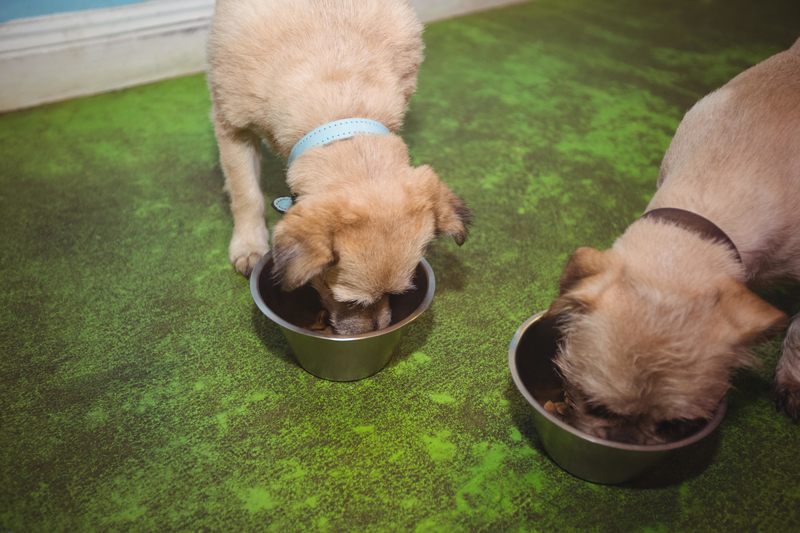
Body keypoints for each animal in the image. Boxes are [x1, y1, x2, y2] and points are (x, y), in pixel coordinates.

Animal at [206, 0, 472, 332]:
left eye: (396, 294)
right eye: (349, 301)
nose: (378, 330)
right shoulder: (231, 126)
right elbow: (246, 194)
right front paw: (249, 245)